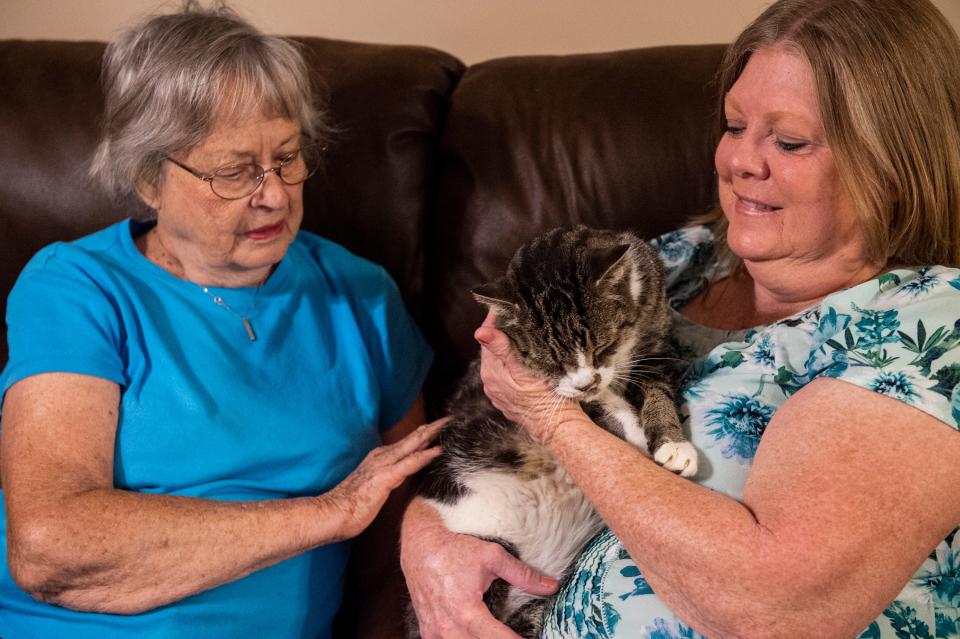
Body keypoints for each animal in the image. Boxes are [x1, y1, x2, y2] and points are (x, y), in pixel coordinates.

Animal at [406, 226, 696, 639]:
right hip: (491, 547)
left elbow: (656, 393)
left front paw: (672, 444)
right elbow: (603, 408)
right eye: (551, 361)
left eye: (602, 346)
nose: (587, 381)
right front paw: (637, 438)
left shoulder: (655, 348)